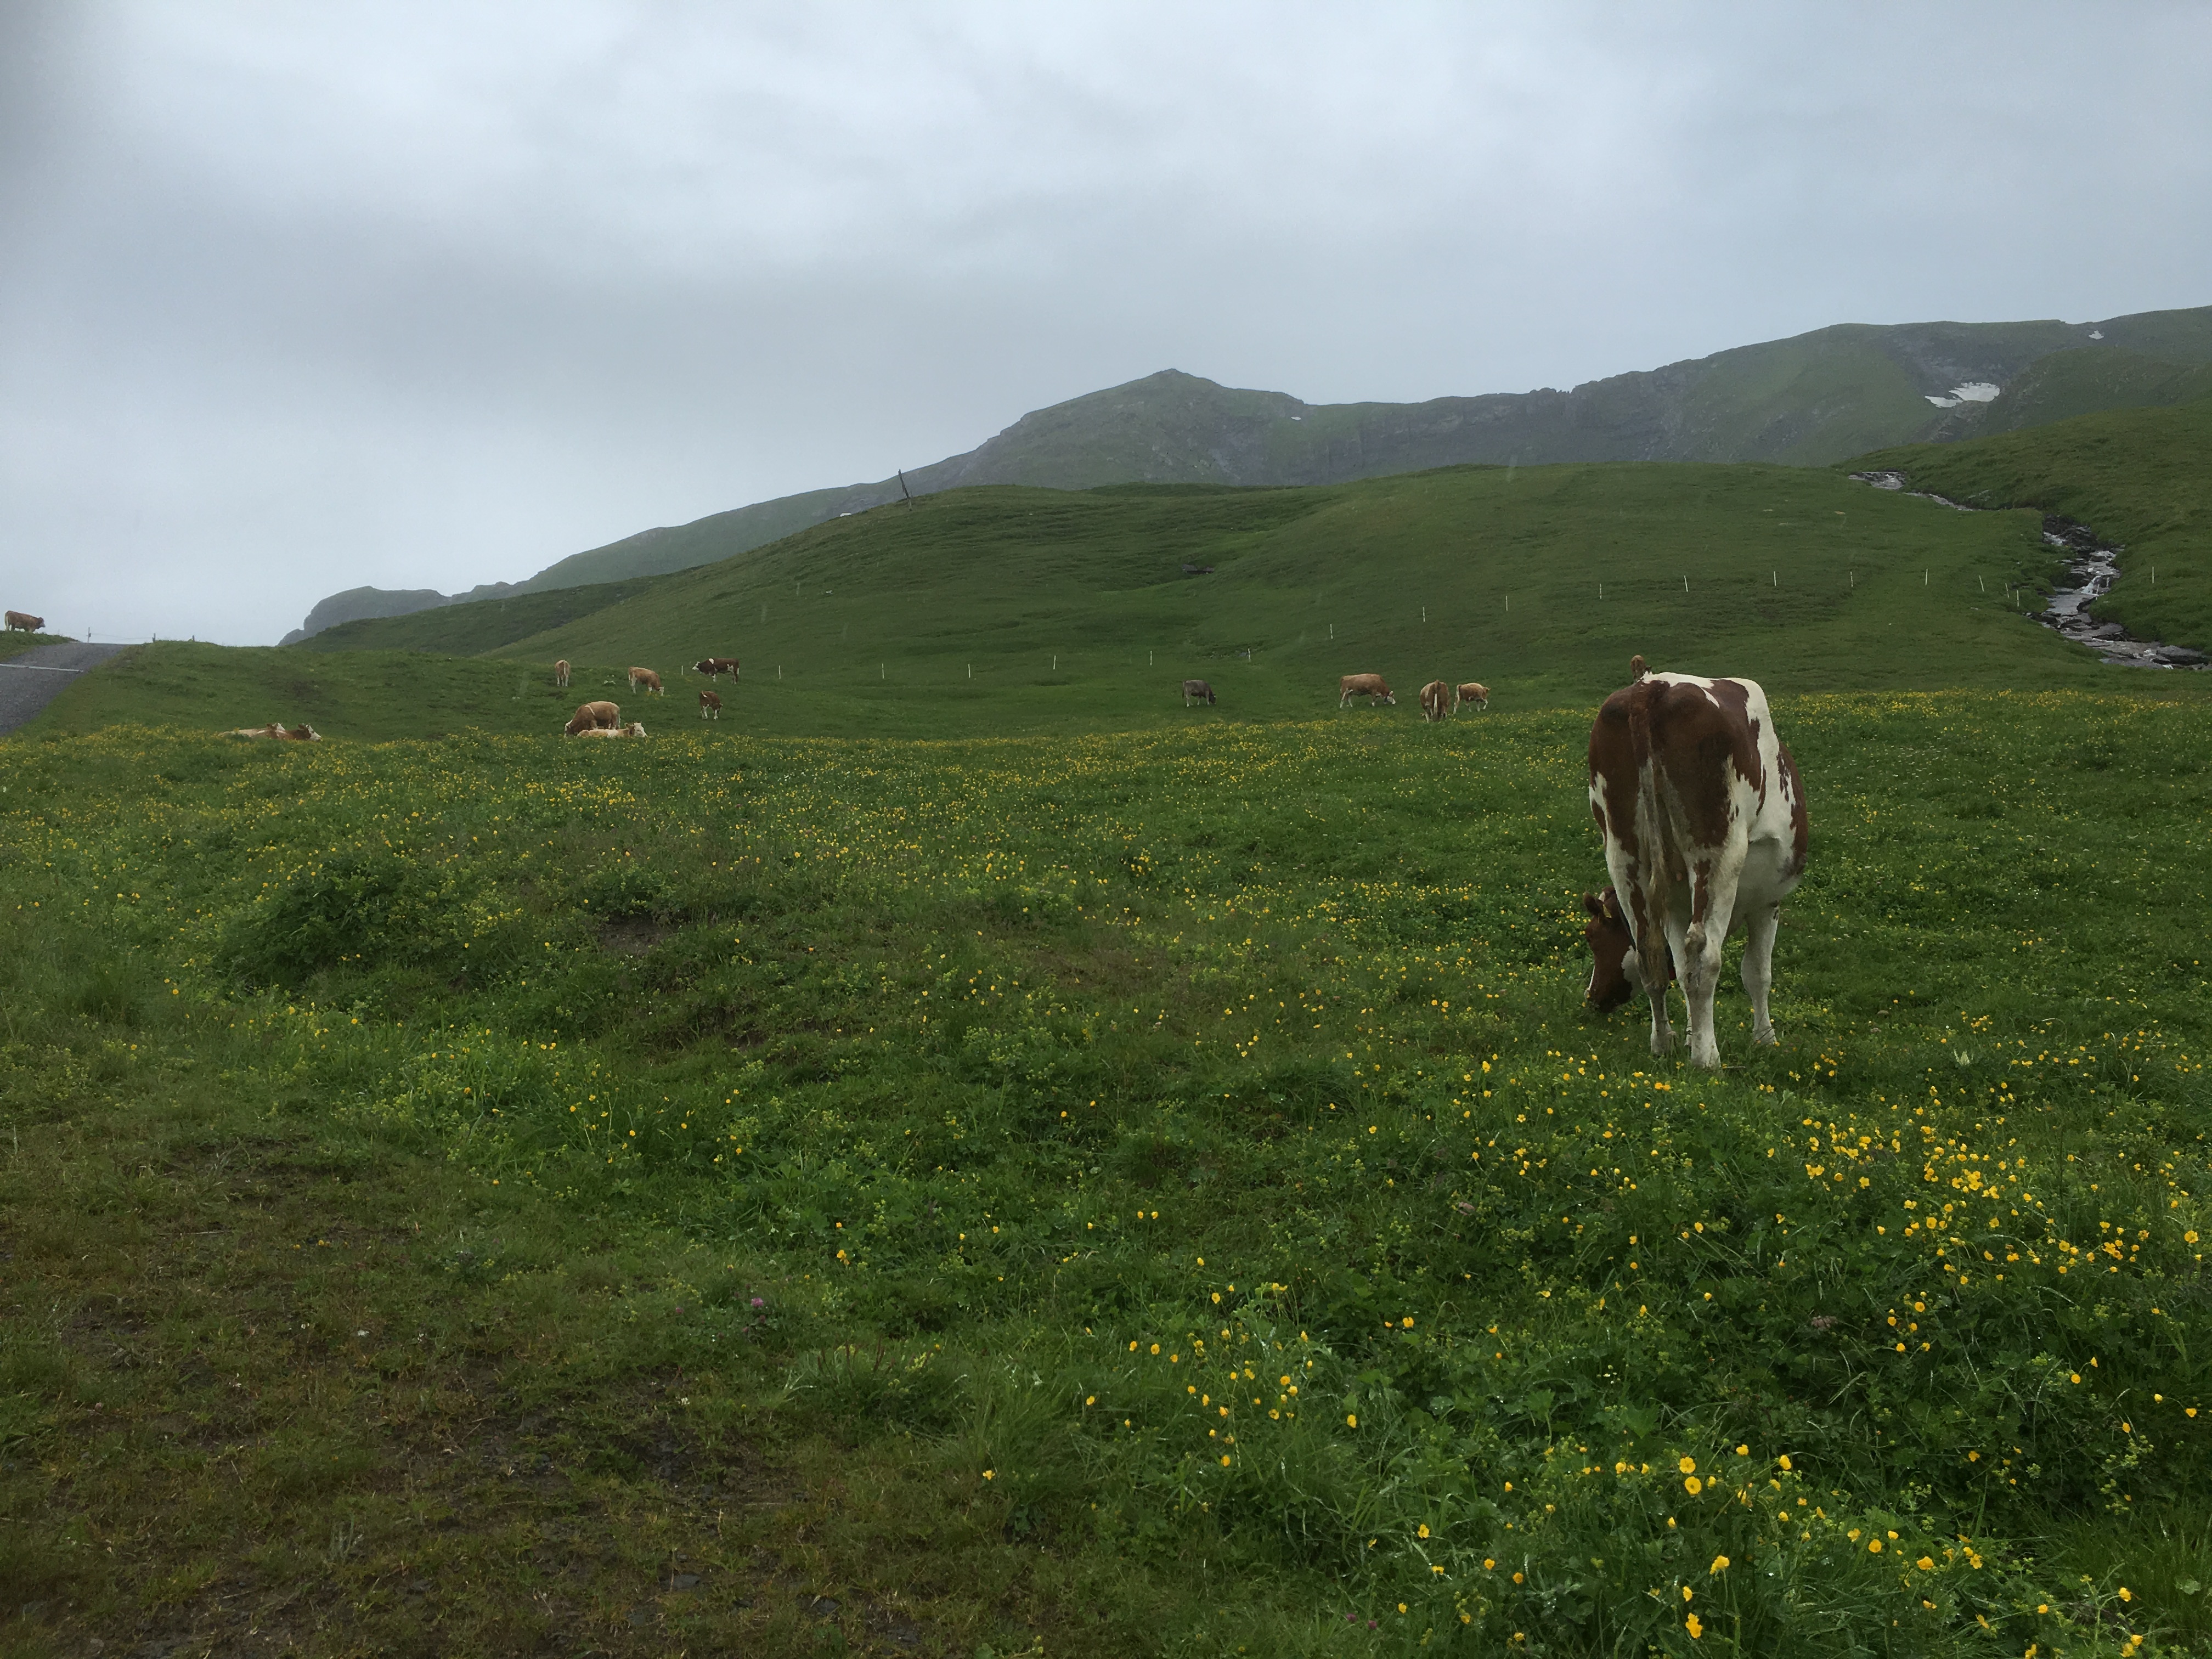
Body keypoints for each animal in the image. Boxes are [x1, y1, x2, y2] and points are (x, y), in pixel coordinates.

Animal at [1593, 668, 1814, 1070]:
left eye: (1592, 938)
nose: (1593, 997)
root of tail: (1651, 686)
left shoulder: (1676, 908)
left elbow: (1679, 970)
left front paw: (1691, 1036)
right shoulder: (1767, 902)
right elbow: (1757, 972)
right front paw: (1764, 1039)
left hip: (1624, 853)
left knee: (1649, 952)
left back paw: (1662, 1043)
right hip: (1717, 851)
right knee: (1703, 953)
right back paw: (1707, 1060)